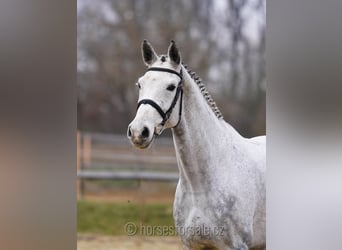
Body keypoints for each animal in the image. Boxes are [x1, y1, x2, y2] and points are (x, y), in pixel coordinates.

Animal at [128, 40, 268, 249]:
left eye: (171, 86)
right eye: (140, 84)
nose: (138, 132)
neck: (199, 187)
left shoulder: (237, 246)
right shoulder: (191, 245)